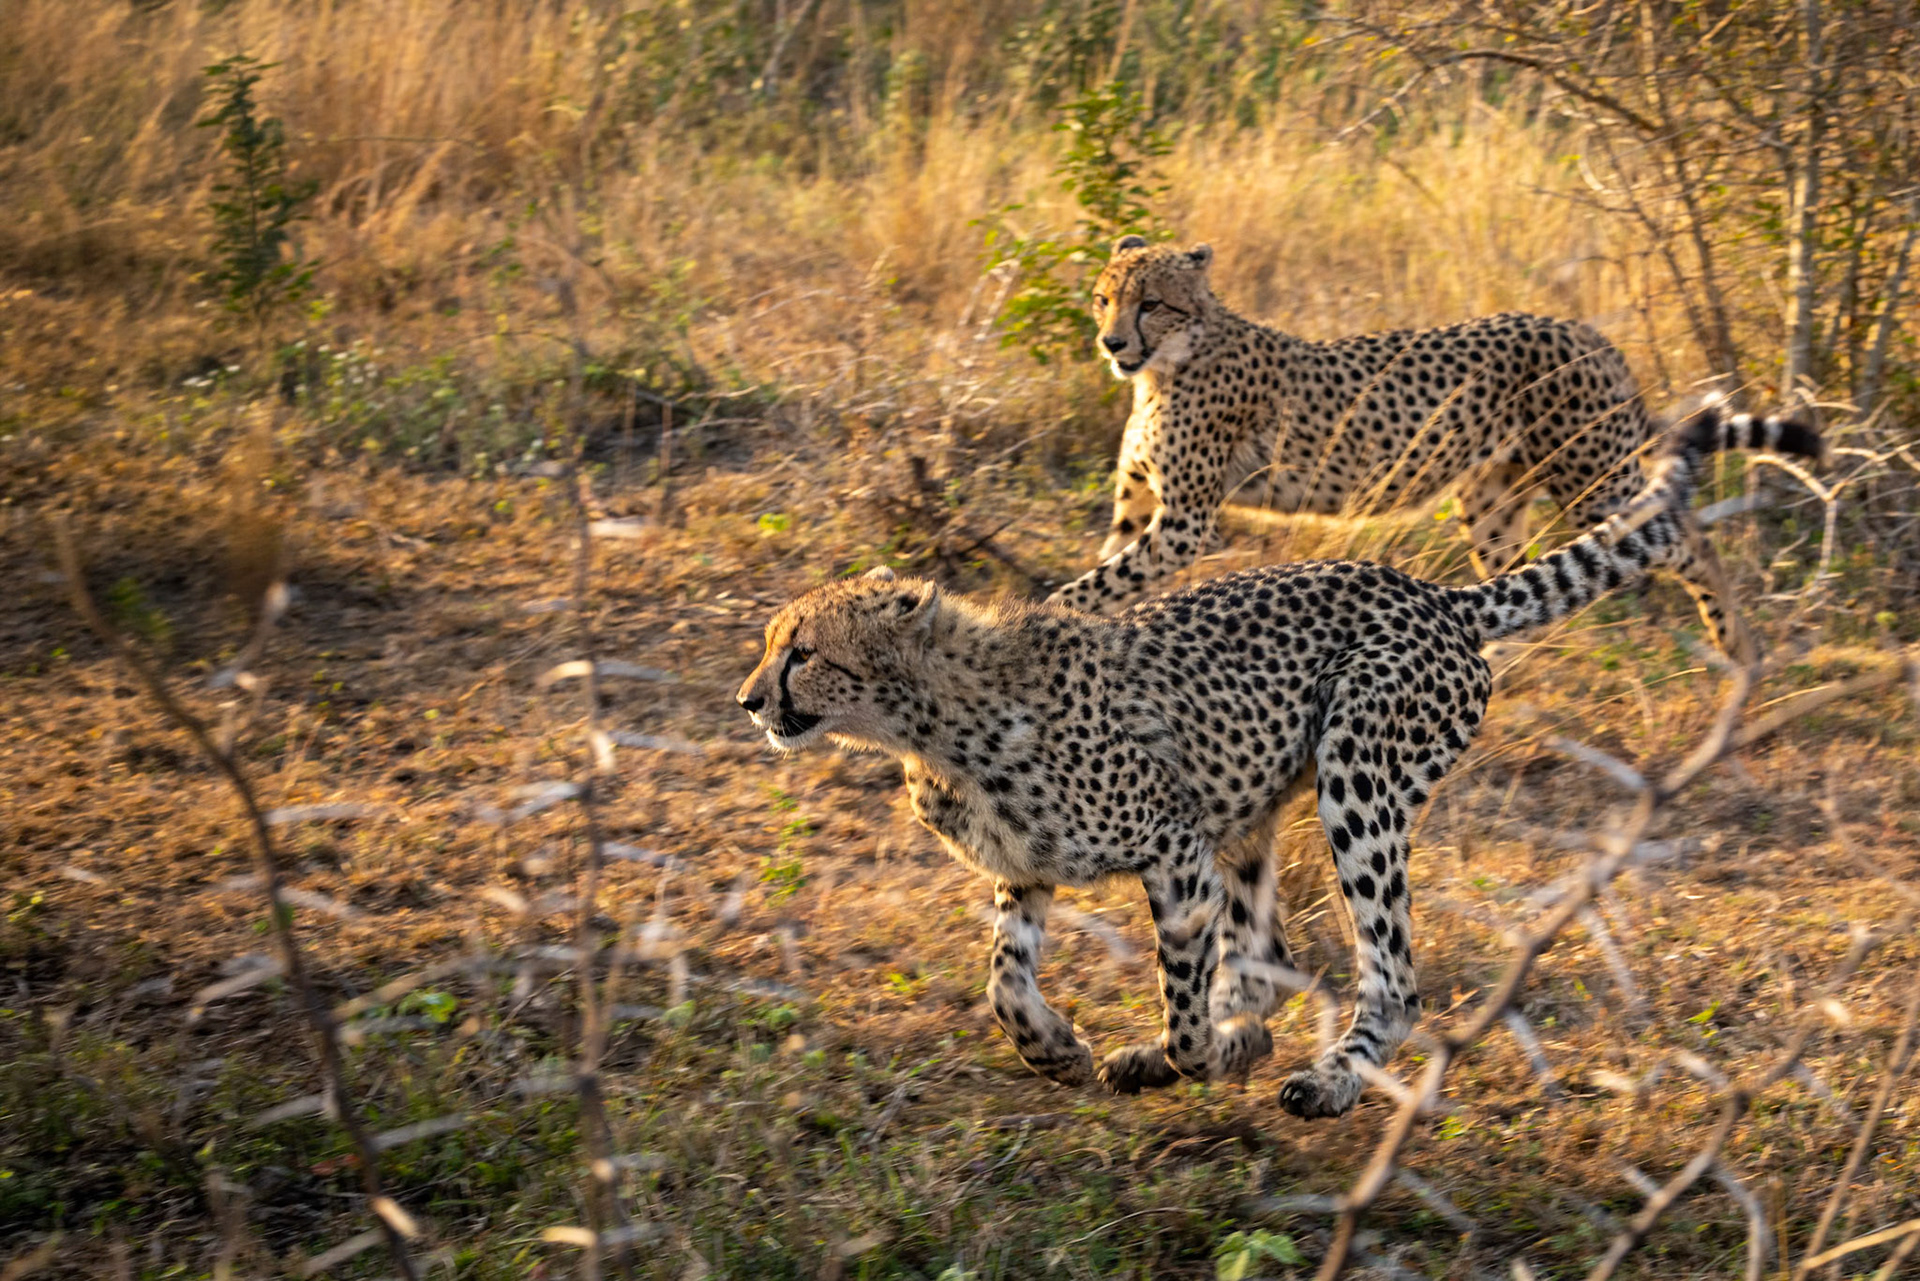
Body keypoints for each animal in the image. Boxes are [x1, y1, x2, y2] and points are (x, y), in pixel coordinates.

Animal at [736, 402, 1818, 1119]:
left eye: (804, 653)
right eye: (774, 644)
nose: (750, 699)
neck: (928, 720)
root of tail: (1433, 593)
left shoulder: (1171, 847)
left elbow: (1181, 993)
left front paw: (1194, 1054)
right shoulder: (1035, 867)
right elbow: (1005, 979)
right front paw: (1058, 1048)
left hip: (1361, 780)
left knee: (1388, 976)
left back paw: (1326, 1077)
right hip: (1258, 812)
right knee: (1273, 958)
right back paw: (1229, 1042)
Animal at [1048, 235, 1798, 669]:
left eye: (1151, 302)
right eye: (1103, 297)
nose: (1112, 343)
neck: (1166, 364)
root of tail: (1588, 332)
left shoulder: (1184, 522)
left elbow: (1095, 583)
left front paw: (1051, 622)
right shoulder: (1137, 503)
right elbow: (1108, 570)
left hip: (1592, 476)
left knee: (1681, 533)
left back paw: (1737, 645)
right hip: (1494, 499)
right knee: (1519, 582)